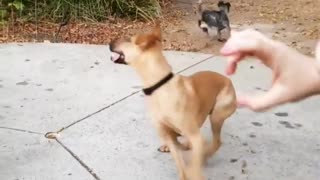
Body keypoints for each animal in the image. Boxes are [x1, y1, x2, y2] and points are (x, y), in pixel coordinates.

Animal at [110, 22, 238, 180]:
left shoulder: (195, 137)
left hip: (217, 116)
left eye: (128, 39)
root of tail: (227, 80)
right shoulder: (167, 133)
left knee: (216, 142)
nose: (110, 42)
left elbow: (193, 163)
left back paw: (204, 154)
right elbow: (180, 163)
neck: (160, 84)